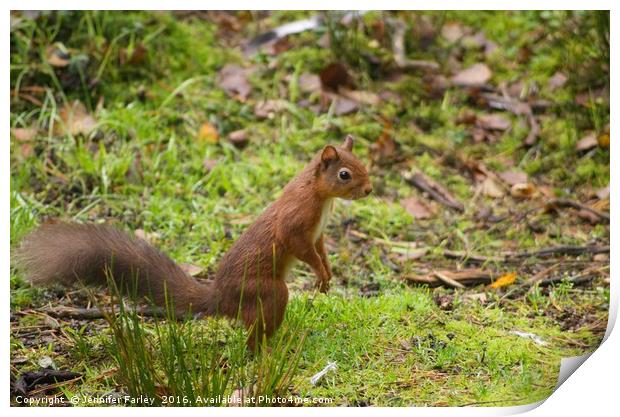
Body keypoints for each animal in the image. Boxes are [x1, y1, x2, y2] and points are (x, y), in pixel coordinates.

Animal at [15, 134, 372, 348]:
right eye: (344, 174)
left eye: (364, 166)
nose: (369, 190)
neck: (320, 197)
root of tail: (219, 298)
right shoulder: (295, 226)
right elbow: (303, 250)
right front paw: (320, 275)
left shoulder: (318, 233)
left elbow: (321, 251)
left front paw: (328, 275)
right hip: (264, 292)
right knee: (256, 331)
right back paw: (267, 350)